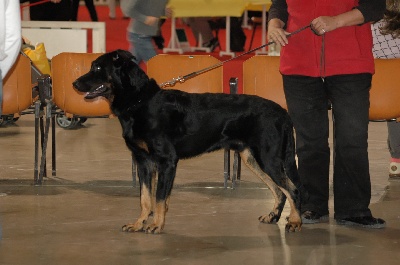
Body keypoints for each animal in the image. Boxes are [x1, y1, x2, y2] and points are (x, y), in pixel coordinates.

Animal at [72, 49, 304, 231]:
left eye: (97, 68)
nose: (74, 83)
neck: (139, 102)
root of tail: (283, 113)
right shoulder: (144, 162)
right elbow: (145, 198)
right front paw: (139, 224)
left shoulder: (166, 161)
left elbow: (159, 197)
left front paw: (156, 225)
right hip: (252, 159)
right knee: (279, 191)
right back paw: (273, 217)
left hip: (268, 158)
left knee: (292, 189)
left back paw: (295, 221)